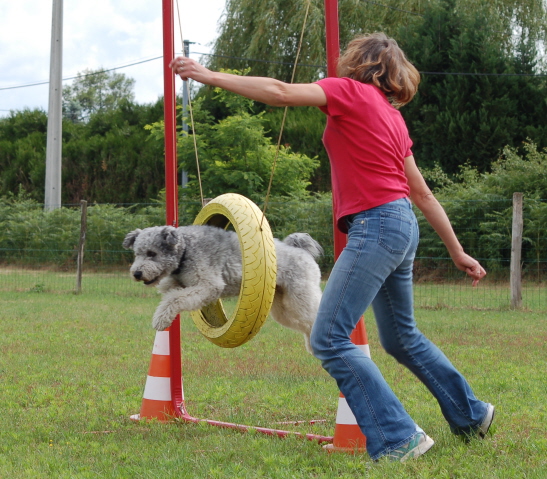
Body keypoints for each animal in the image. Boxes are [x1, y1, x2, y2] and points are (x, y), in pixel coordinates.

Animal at [122, 225, 324, 352]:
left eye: (152, 253)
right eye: (137, 253)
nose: (137, 273)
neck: (186, 250)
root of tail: (301, 251)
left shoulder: (209, 285)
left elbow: (175, 298)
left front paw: (161, 319)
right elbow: (171, 290)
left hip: (300, 297)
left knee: (314, 316)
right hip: (282, 309)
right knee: (306, 325)